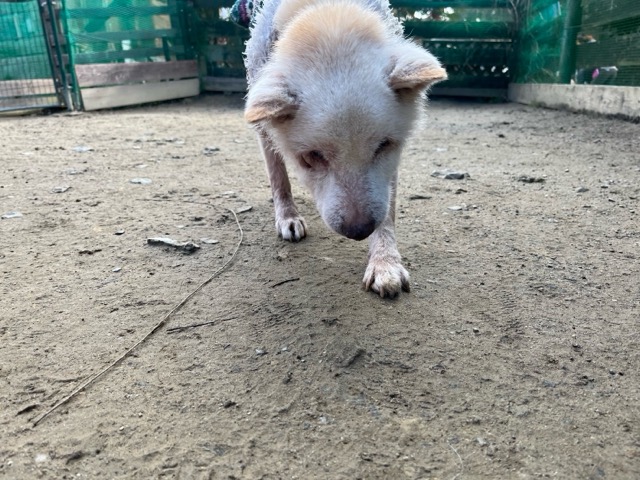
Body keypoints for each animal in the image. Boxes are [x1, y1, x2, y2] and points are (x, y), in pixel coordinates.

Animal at [243, 0, 446, 297]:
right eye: (312, 157)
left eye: (384, 145)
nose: (360, 230)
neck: (324, 12)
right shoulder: (263, 126)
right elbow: (278, 177)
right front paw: (288, 217)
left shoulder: (388, 169)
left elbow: (387, 213)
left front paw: (385, 263)